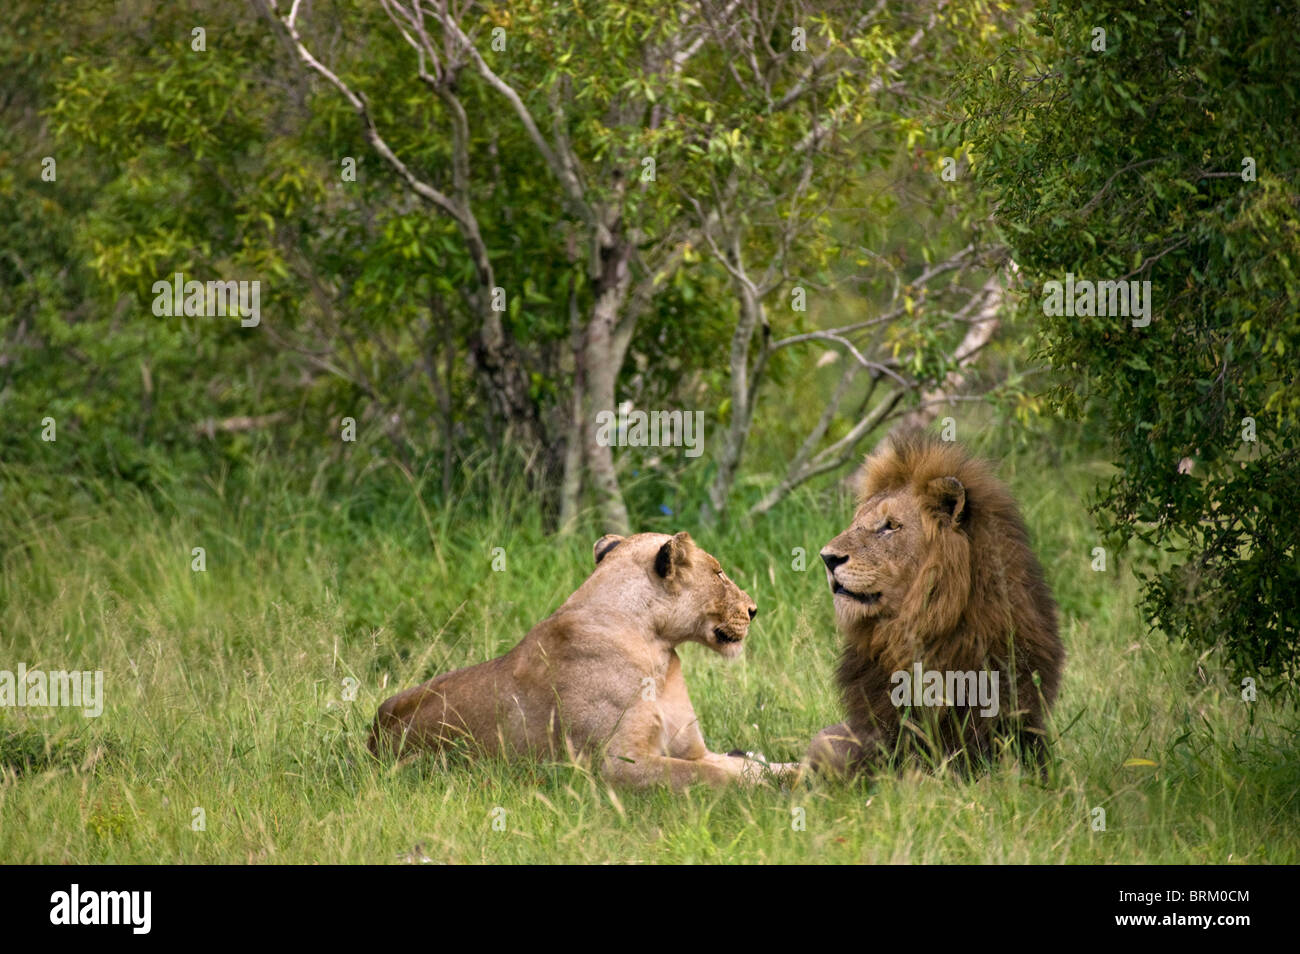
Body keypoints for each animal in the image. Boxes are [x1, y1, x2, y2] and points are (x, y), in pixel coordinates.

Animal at [366, 535, 790, 790]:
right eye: (718, 573)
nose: (754, 609)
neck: (657, 647)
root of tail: (372, 738)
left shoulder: (691, 748)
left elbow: (747, 765)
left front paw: (793, 773)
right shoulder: (616, 765)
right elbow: (710, 774)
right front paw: (767, 793)